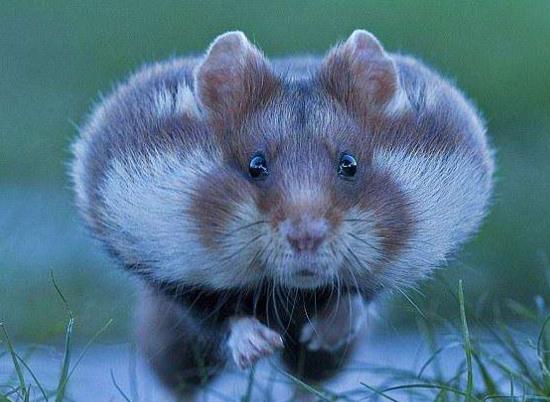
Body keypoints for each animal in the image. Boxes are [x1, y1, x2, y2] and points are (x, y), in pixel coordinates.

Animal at [70, 30, 496, 392]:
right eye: (255, 165)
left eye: (349, 163)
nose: (305, 237)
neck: (293, 292)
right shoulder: (178, 282)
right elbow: (222, 316)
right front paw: (260, 346)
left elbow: (356, 297)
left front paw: (321, 333)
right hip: (172, 345)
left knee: (307, 382)